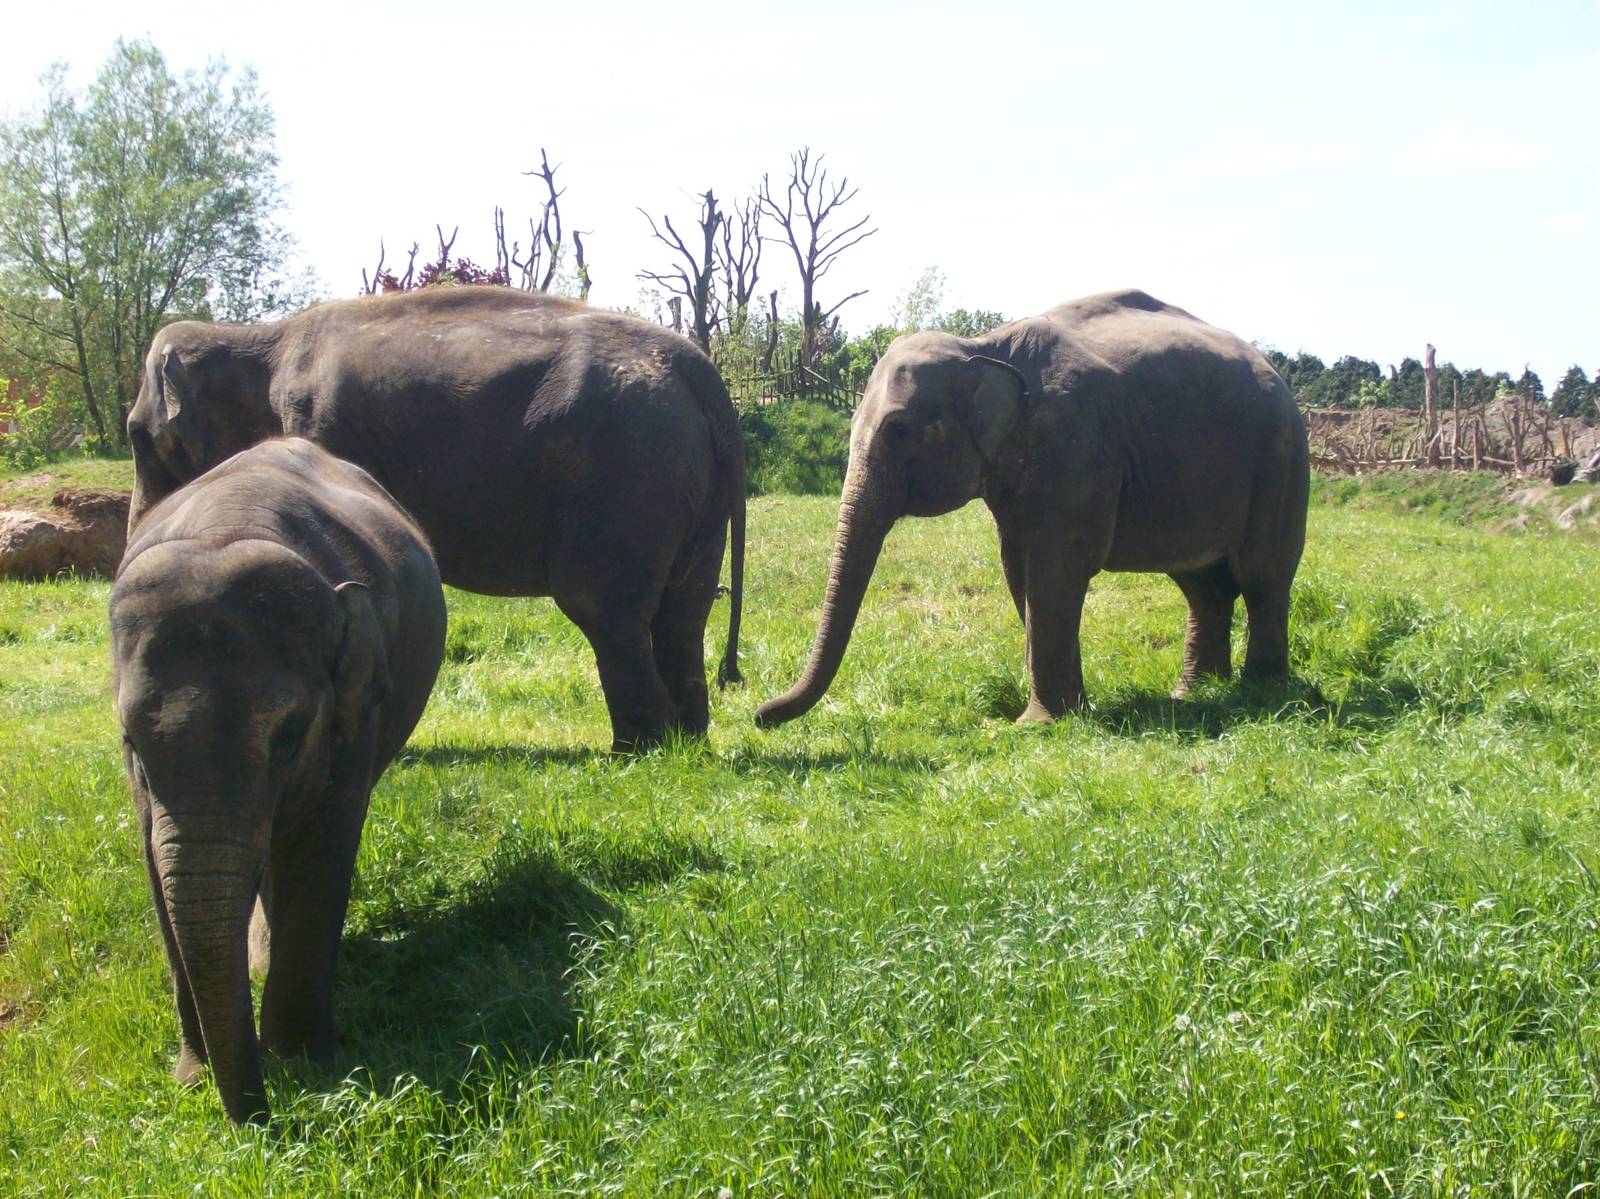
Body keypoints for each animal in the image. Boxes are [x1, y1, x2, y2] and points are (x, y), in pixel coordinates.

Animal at [111, 438, 446, 1124]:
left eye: (289, 736)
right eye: (131, 743)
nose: (261, 1125)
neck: (225, 530)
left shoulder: (356, 710)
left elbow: (322, 848)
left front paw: (303, 1063)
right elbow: (157, 865)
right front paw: (194, 1077)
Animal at [126, 286, 744, 751]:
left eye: (136, 437)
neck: (256, 338)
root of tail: (704, 375)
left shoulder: (319, 426)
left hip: (628, 475)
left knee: (604, 606)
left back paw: (638, 751)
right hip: (692, 487)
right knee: (682, 613)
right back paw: (684, 743)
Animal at [756, 289, 1309, 728]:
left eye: (898, 430)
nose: (760, 715)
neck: (984, 346)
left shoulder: (1076, 444)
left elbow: (1056, 569)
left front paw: (1039, 724)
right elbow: (1018, 570)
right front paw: (1066, 713)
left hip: (1281, 459)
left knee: (1262, 577)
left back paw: (1261, 691)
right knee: (1202, 585)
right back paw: (1193, 693)